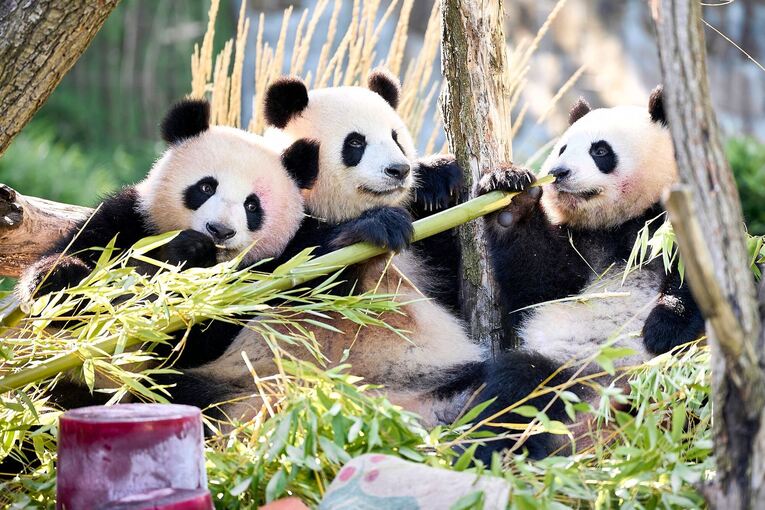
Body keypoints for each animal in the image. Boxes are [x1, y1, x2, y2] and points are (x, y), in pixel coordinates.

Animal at [17, 98, 320, 407]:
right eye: (206, 187)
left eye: (252, 206)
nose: (219, 230)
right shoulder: (129, 221)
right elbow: (76, 271)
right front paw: (59, 277)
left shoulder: (264, 277)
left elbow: (195, 338)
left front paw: (191, 258)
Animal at [172, 69, 485, 427]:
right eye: (356, 143)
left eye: (396, 138)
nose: (399, 170)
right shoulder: (277, 232)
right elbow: (301, 280)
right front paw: (378, 225)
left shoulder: (423, 252)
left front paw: (438, 180)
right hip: (236, 385)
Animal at [470, 86, 706, 462]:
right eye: (563, 147)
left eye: (600, 150)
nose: (559, 171)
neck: (623, 222)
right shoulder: (583, 246)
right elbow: (541, 280)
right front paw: (511, 197)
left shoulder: (673, 220)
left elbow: (698, 279)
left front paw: (662, 328)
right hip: (565, 369)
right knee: (514, 392)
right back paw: (494, 453)